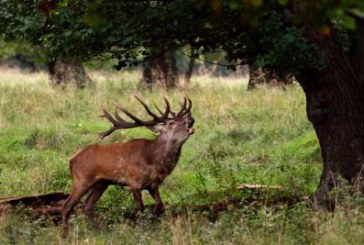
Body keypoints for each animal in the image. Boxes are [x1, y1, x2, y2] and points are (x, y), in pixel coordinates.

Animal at [61, 96, 195, 237]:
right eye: (171, 122)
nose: (191, 119)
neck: (153, 161)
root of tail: (71, 160)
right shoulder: (134, 181)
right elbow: (140, 208)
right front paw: (139, 229)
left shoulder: (153, 184)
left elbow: (159, 204)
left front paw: (152, 222)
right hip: (82, 179)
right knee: (67, 205)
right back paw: (65, 234)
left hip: (101, 184)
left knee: (86, 206)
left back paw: (100, 230)